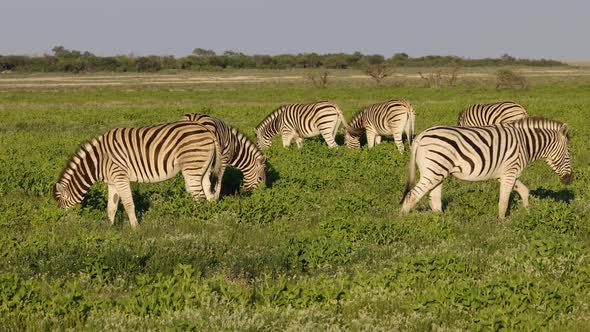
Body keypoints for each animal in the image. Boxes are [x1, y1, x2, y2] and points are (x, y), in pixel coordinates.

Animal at [53, 122, 224, 228]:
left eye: (61, 205)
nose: (61, 223)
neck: (99, 161)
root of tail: (207, 130)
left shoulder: (120, 176)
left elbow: (128, 204)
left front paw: (135, 228)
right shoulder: (112, 181)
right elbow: (111, 207)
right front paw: (110, 227)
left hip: (192, 168)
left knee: (199, 197)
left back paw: (198, 222)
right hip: (203, 169)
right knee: (209, 194)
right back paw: (210, 219)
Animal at [400, 118, 572, 219]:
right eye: (568, 154)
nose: (569, 180)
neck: (525, 143)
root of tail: (421, 136)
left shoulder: (506, 173)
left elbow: (524, 191)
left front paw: (528, 213)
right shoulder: (510, 171)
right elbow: (504, 200)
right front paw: (502, 223)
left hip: (437, 172)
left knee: (434, 200)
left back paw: (441, 221)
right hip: (434, 171)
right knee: (412, 195)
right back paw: (402, 221)